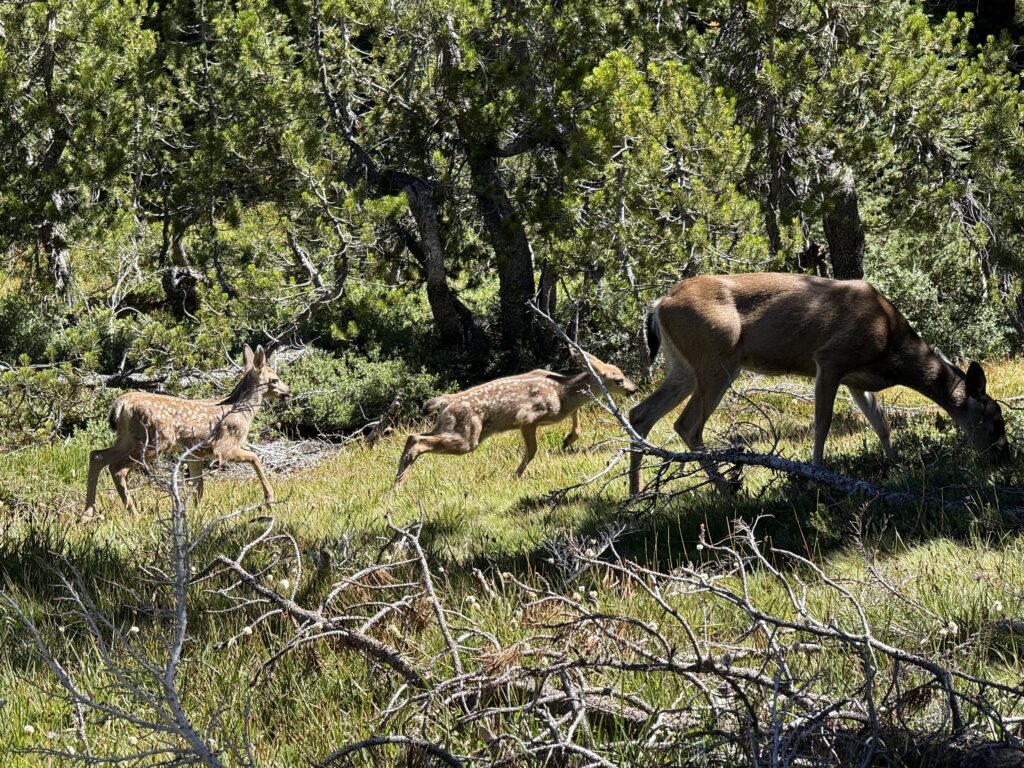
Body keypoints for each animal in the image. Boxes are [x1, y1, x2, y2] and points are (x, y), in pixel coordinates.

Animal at [83, 345, 291, 517]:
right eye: (274, 379)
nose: (288, 392)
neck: (242, 410)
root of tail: (121, 405)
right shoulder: (224, 446)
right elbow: (255, 458)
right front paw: (269, 499)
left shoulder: (195, 454)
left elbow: (199, 486)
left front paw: (195, 513)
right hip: (155, 439)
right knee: (117, 468)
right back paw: (134, 514)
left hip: (127, 439)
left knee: (97, 456)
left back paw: (88, 513)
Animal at [394, 348, 637, 488]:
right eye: (618, 380)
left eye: (623, 373)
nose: (633, 389)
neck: (562, 393)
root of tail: (448, 401)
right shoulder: (527, 417)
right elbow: (532, 450)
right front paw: (517, 475)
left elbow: (575, 416)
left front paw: (568, 439)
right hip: (467, 435)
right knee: (417, 440)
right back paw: (398, 486)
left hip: (447, 426)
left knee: (413, 436)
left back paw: (397, 483)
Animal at [628, 272, 1010, 495]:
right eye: (996, 421)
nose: (1002, 459)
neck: (891, 346)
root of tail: (660, 302)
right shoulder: (830, 359)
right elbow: (823, 422)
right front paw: (816, 473)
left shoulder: (858, 379)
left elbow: (881, 424)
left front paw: (897, 467)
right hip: (716, 358)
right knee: (687, 423)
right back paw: (727, 491)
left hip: (683, 366)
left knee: (640, 414)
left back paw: (636, 494)